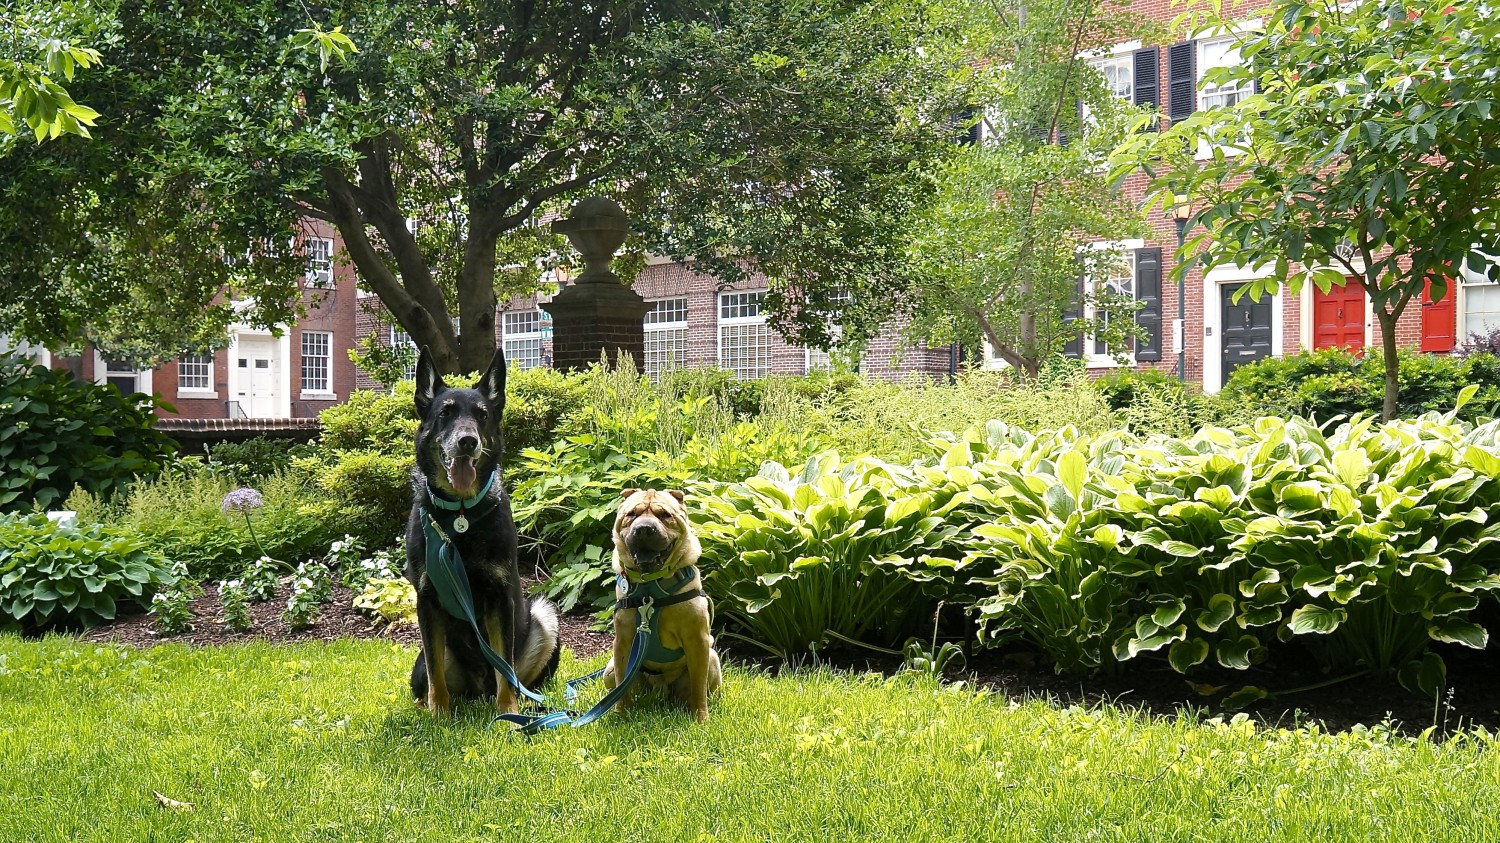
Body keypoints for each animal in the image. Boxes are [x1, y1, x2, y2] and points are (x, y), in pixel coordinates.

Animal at [405, 345, 558, 711]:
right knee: (428, 676)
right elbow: (435, 673)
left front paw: (508, 712)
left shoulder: (499, 597)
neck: (461, 514)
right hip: (422, 662)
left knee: (518, 677)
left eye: (482, 415)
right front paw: (439, 714)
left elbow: (506, 669)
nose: (467, 441)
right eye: (445, 413)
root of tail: (478, 691)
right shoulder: (427, 599)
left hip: (544, 615)